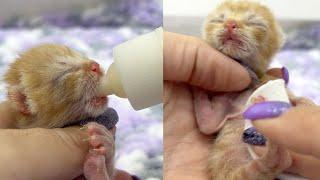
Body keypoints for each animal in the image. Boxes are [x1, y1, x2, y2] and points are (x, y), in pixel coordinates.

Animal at [194, 0, 314, 179]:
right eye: (218, 20)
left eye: (255, 23)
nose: (230, 24)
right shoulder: (227, 98)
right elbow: (208, 124)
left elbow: (299, 98)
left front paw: (306, 105)